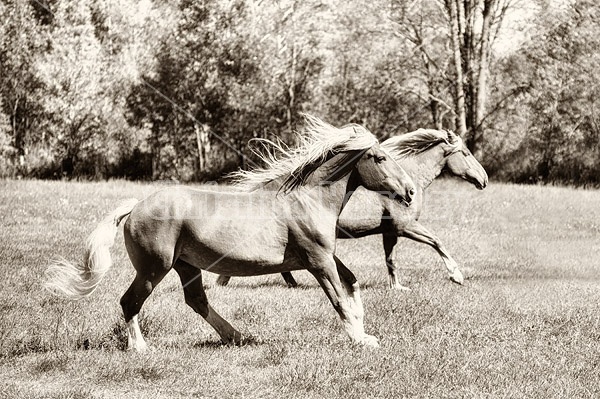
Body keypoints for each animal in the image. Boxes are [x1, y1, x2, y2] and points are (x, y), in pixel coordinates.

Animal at [44, 115, 414, 350]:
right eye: (380, 158)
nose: (410, 192)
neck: (307, 199)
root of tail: (135, 207)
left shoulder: (326, 257)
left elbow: (351, 284)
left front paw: (365, 334)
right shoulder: (317, 260)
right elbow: (338, 298)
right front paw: (359, 340)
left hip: (186, 266)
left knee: (196, 300)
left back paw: (236, 336)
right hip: (154, 268)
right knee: (130, 301)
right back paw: (140, 348)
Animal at [217, 130, 488, 290]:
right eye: (466, 153)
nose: (484, 180)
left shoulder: (389, 232)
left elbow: (390, 260)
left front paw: (397, 287)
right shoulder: (405, 227)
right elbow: (437, 241)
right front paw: (456, 276)